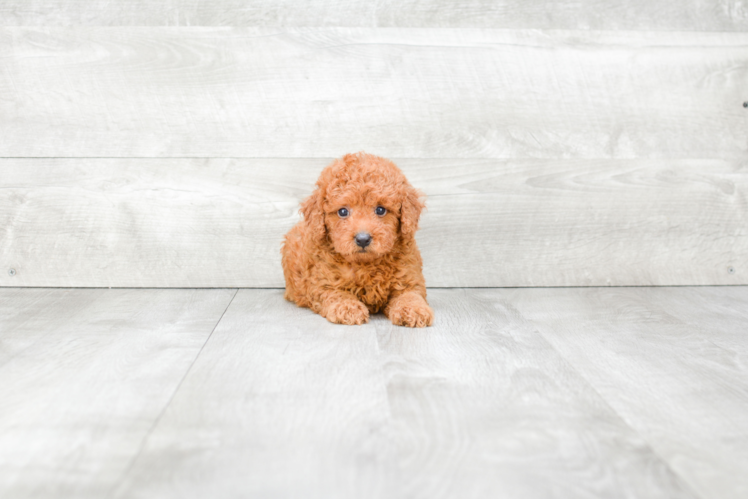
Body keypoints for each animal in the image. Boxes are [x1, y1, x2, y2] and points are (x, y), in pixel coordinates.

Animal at [280, 152, 432, 328]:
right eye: (343, 212)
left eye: (380, 210)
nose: (363, 239)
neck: (365, 265)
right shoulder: (323, 282)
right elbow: (337, 294)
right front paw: (348, 307)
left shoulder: (408, 276)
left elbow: (410, 294)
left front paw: (414, 309)